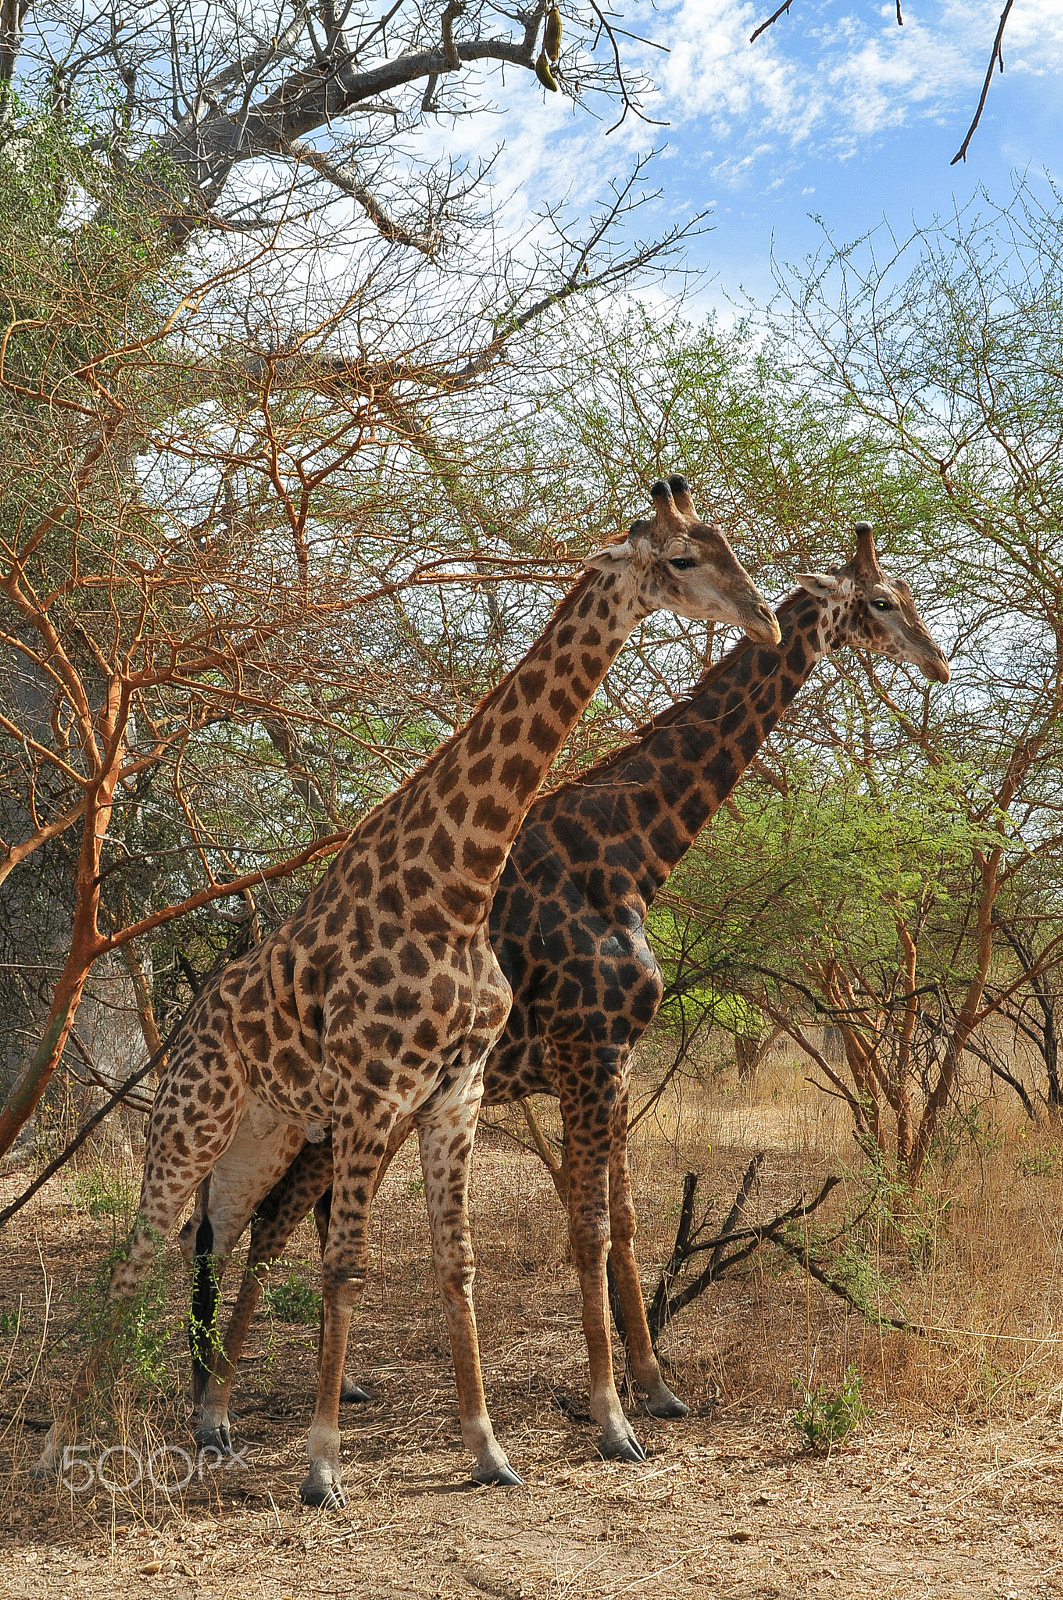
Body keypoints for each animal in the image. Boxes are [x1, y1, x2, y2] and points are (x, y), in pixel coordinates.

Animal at [35, 480, 781, 1504]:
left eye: (728, 545)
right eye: (678, 559)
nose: (763, 617)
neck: (454, 886)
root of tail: (185, 1027)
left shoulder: (452, 1095)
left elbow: (455, 1265)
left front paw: (489, 1451)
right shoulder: (377, 1090)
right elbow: (348, 1268)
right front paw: (320, 1469)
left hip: (266, 1131)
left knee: (210, 1237)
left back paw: (194, 1421)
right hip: (193, 1119)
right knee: (137, 1253)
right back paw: (61, 1448)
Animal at [195, 496, 947, 1465]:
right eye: (884, 603)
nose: (936, 663)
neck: (627, 851)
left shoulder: (616, 1057)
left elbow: (622, 1222)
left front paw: (657, 1389)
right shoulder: (590, 1051)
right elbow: (586, 1228)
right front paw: (610, 1416)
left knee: (294, 1215)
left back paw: (324, 1388)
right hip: (344, 1104)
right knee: (268, 1216)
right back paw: (216, 1409)